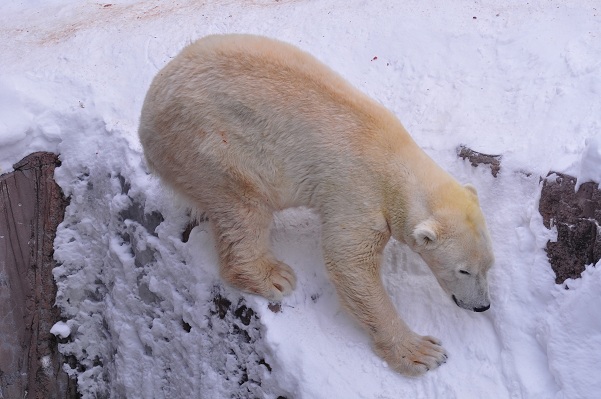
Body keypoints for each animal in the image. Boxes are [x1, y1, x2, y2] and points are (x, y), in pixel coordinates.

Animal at [139, 34, 492, 378]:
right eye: (463, 269)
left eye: (488, 266)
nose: (482, 306)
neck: (394, 155)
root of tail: (146, 120)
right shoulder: (356, 190)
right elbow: (350, 262)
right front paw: (422, 352)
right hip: (210, 146)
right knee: (243, 207)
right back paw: (273, 276)